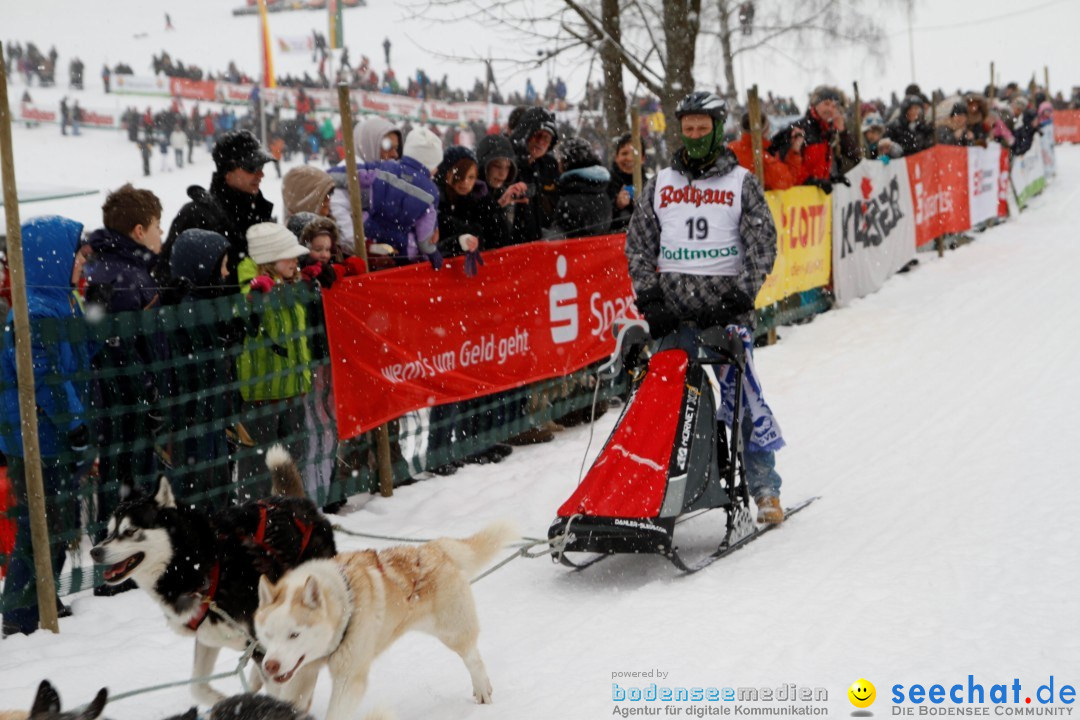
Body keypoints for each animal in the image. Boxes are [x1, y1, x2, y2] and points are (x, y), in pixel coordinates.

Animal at [90, 446, 334, 708]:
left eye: (130, 531)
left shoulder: (263, 646)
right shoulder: (209, 639)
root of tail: (299, 503)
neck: (194, 565)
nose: (95, 552)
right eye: (109, 531)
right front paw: (226, 701)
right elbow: (198, 687)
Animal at [257, 520, 518, 716]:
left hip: (452, 631)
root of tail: (434, 548)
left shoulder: (349, 678)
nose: (270, 666)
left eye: (294, 634)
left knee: (473, 658)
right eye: (268, 635)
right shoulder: (300, 676)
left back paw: (482, 689)